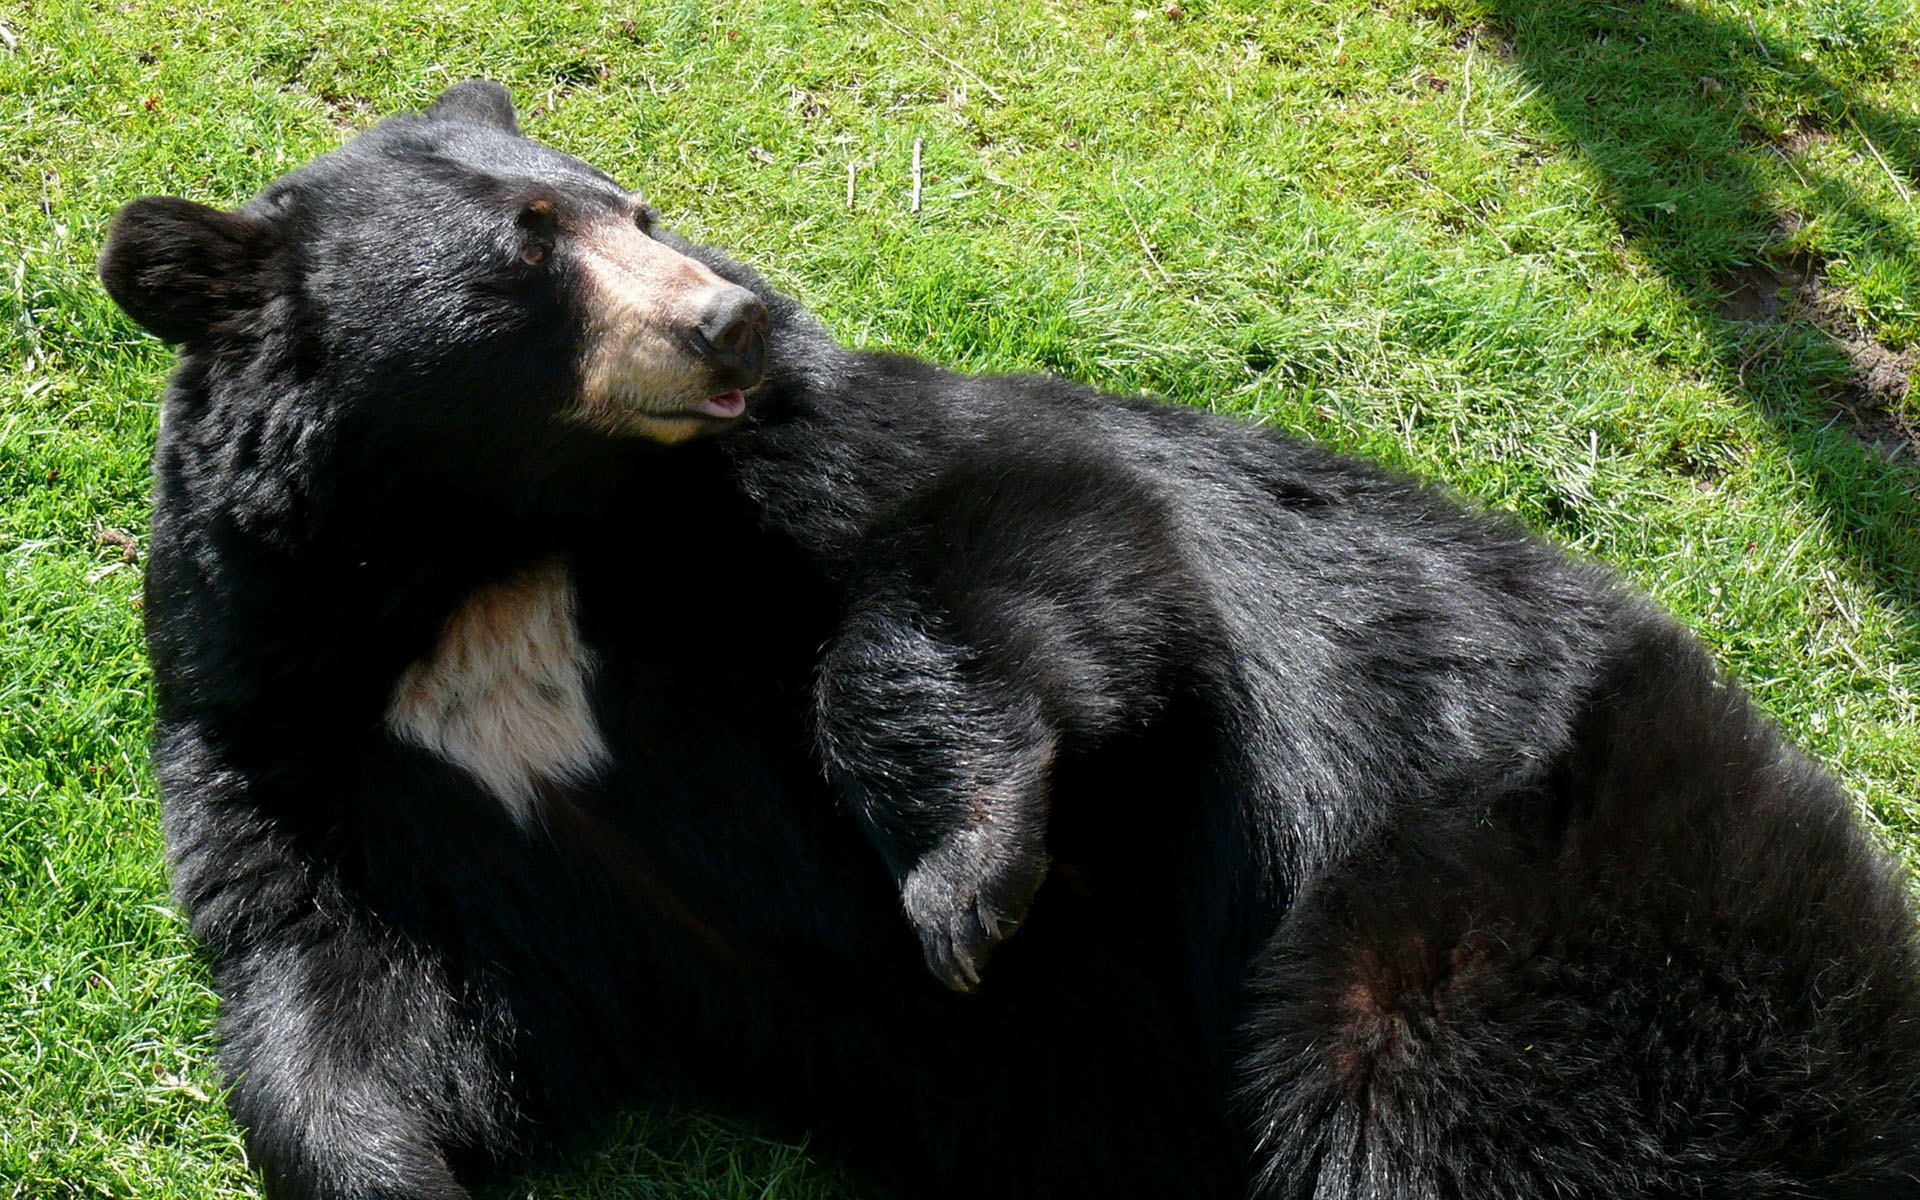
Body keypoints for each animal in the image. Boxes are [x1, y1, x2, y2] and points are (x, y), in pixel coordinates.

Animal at [105, 79, 1920, 1190]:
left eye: (634, 209)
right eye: (530, 253)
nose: (729, 318)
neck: (492, 550)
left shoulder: (817, 473)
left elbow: (1036, 551)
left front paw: (970, 891)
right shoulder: (302, 729)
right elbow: (354, 979)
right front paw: (387, 1160)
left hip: (1525, 919)